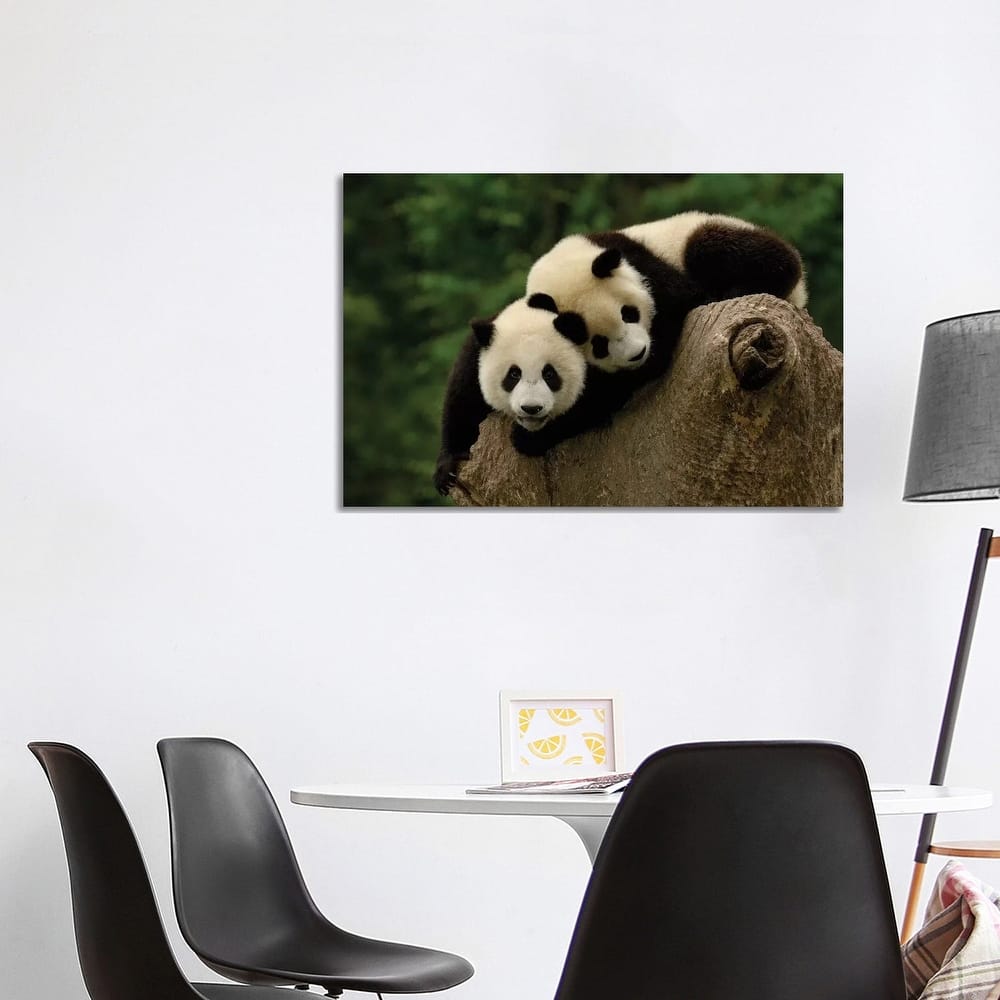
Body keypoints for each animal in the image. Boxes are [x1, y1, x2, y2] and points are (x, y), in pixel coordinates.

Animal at [434, 297, 588, 496]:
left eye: (549, 373)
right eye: (514, 374)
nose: (531, 408)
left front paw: (526, 439)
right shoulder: (476, 355)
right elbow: (462, 402)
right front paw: (448, 470)